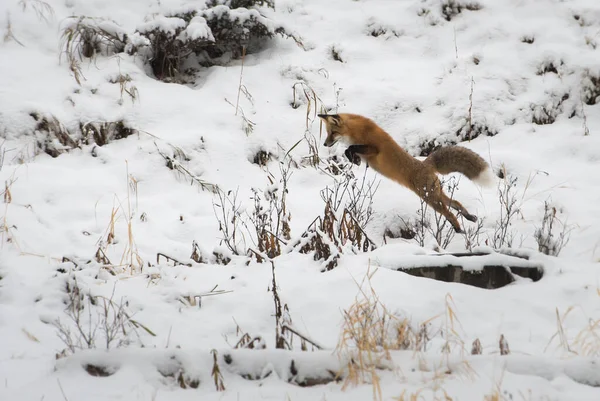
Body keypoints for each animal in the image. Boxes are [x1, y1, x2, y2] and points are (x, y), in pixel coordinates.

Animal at [316, 111, 494, 231]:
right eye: (327, 133)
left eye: (333, 133)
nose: (324, 144)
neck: (357, 130)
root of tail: (426, 164)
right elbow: (349, 150)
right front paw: (355, 160)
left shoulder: (374, 149)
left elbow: (351, 148)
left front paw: (354, 158)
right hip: (435, 194)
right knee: (455, 203)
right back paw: (469, 217)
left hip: (430, 198)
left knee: (449, 213)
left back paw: (459, 230)